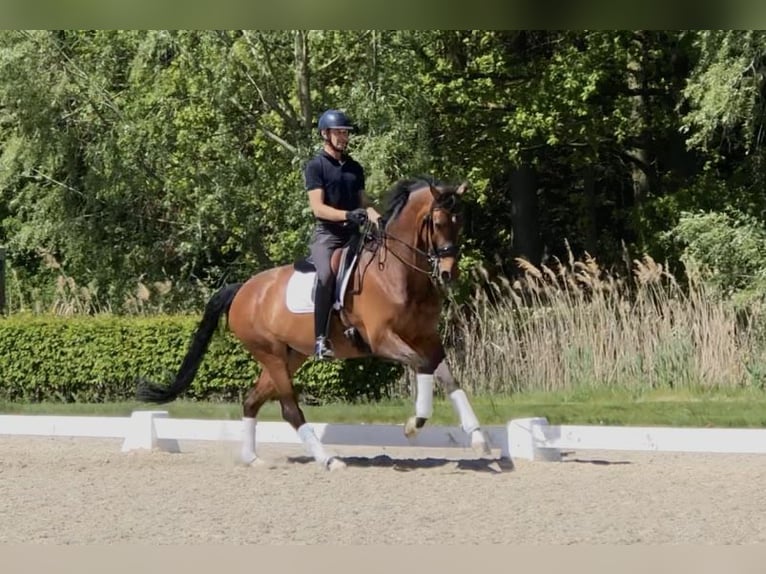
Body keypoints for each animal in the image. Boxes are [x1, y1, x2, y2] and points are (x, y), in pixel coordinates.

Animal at [136, 177, 490, 470]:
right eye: (438, 222)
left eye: (460, 223)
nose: (448, 273)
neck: (398, 273)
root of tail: (243, 289)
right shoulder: (383, 339)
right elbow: (422, 365)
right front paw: (415, 423)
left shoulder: (425, 336)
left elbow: (446, 375)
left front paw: (478, 436)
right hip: (270, 354)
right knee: (290, 410)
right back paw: (328, 460)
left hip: (290, 356)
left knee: (251, 400)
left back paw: (253, 458)